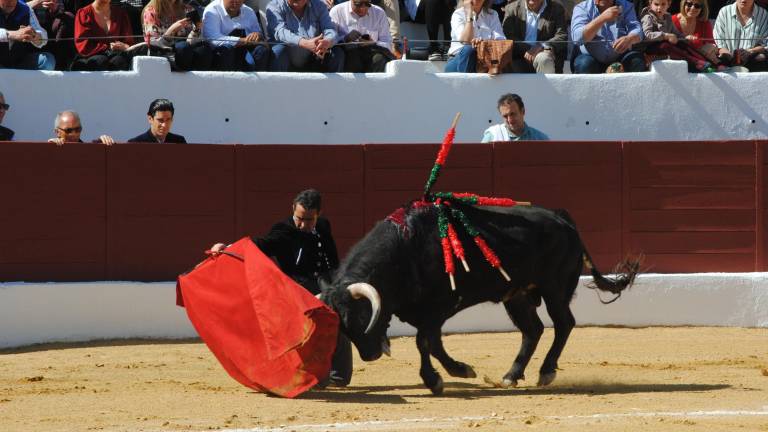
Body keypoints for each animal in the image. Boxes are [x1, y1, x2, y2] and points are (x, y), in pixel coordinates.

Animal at [320, 202, 640, 394]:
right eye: (342, 326)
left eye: (361, 316)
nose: (370, 355)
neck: (406, 248)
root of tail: (564, 220)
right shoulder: (425, 311)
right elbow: (431, 343)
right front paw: (450, 374)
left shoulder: (440, 306)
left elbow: (426, 341)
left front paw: (444, 376)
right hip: (517, 295)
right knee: (533, 330)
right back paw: (512, 374)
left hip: (554, 289)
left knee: (563, 324)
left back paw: (546, 371)